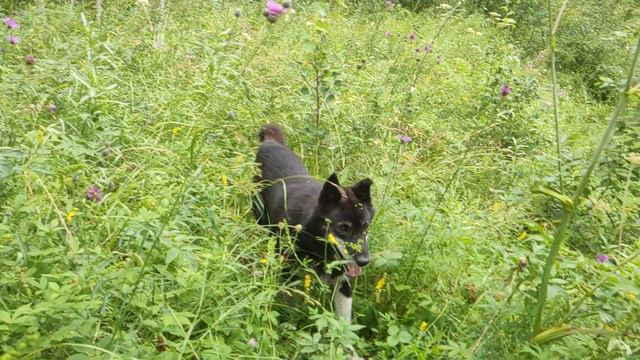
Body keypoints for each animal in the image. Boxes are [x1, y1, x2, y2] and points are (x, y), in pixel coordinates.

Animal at [254, 124, 376, 324]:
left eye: (365, 226)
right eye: (344, 228)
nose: (364, 262)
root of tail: (271, 142)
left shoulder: (343, 282)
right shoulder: (289, 278)